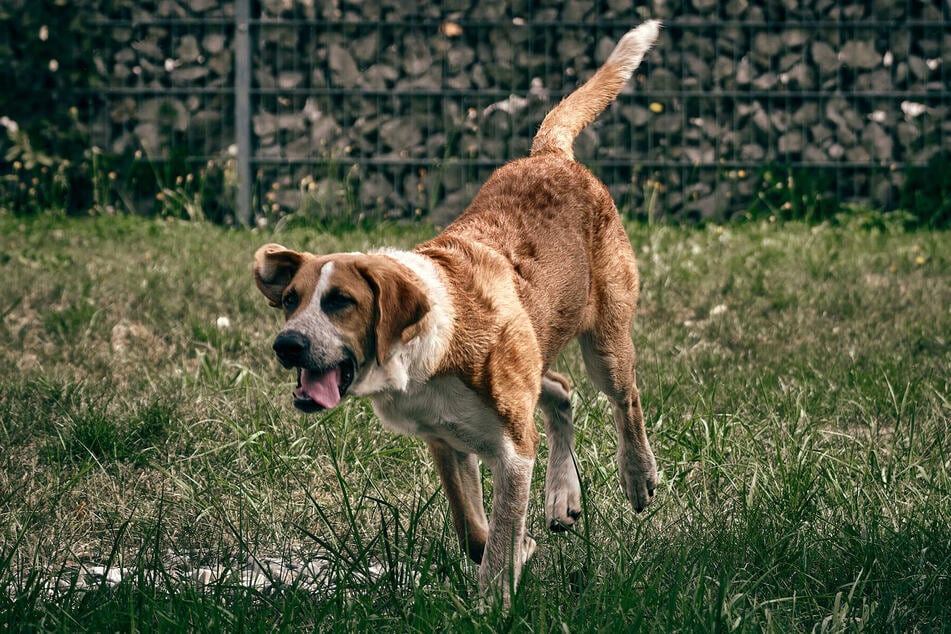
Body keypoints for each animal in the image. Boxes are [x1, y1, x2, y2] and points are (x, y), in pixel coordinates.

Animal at [253, 21, 660, 604]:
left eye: (340, 302)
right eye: (291, 300)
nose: (286, 345)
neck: (423, 352)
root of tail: (550, 154)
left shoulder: (514, 451)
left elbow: (503, 529)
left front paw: (494, 597)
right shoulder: (446, 441)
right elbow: (473, 529)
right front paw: (517, 550)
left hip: (605, 339)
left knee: (624, 398)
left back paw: (638, 474)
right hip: (538, 350)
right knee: (560, 389)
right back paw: (563, 495)